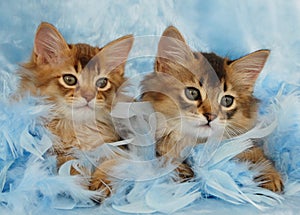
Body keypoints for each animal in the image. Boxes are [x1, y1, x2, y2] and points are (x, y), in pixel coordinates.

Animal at [19, 22, 134, 195]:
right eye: (69, 79)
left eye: (101, 83)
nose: (89, 96)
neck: (78, 127)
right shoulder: (52, 147)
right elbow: (70, 161)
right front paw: (77, 181)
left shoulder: (119, 145)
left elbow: (114, 160)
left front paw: (102, 183)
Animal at [142, 26, 282, 192]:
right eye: (192, 93)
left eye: (227, 101)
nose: (211, 116)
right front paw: (181, 171)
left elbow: (251, 151)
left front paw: (268, 175)